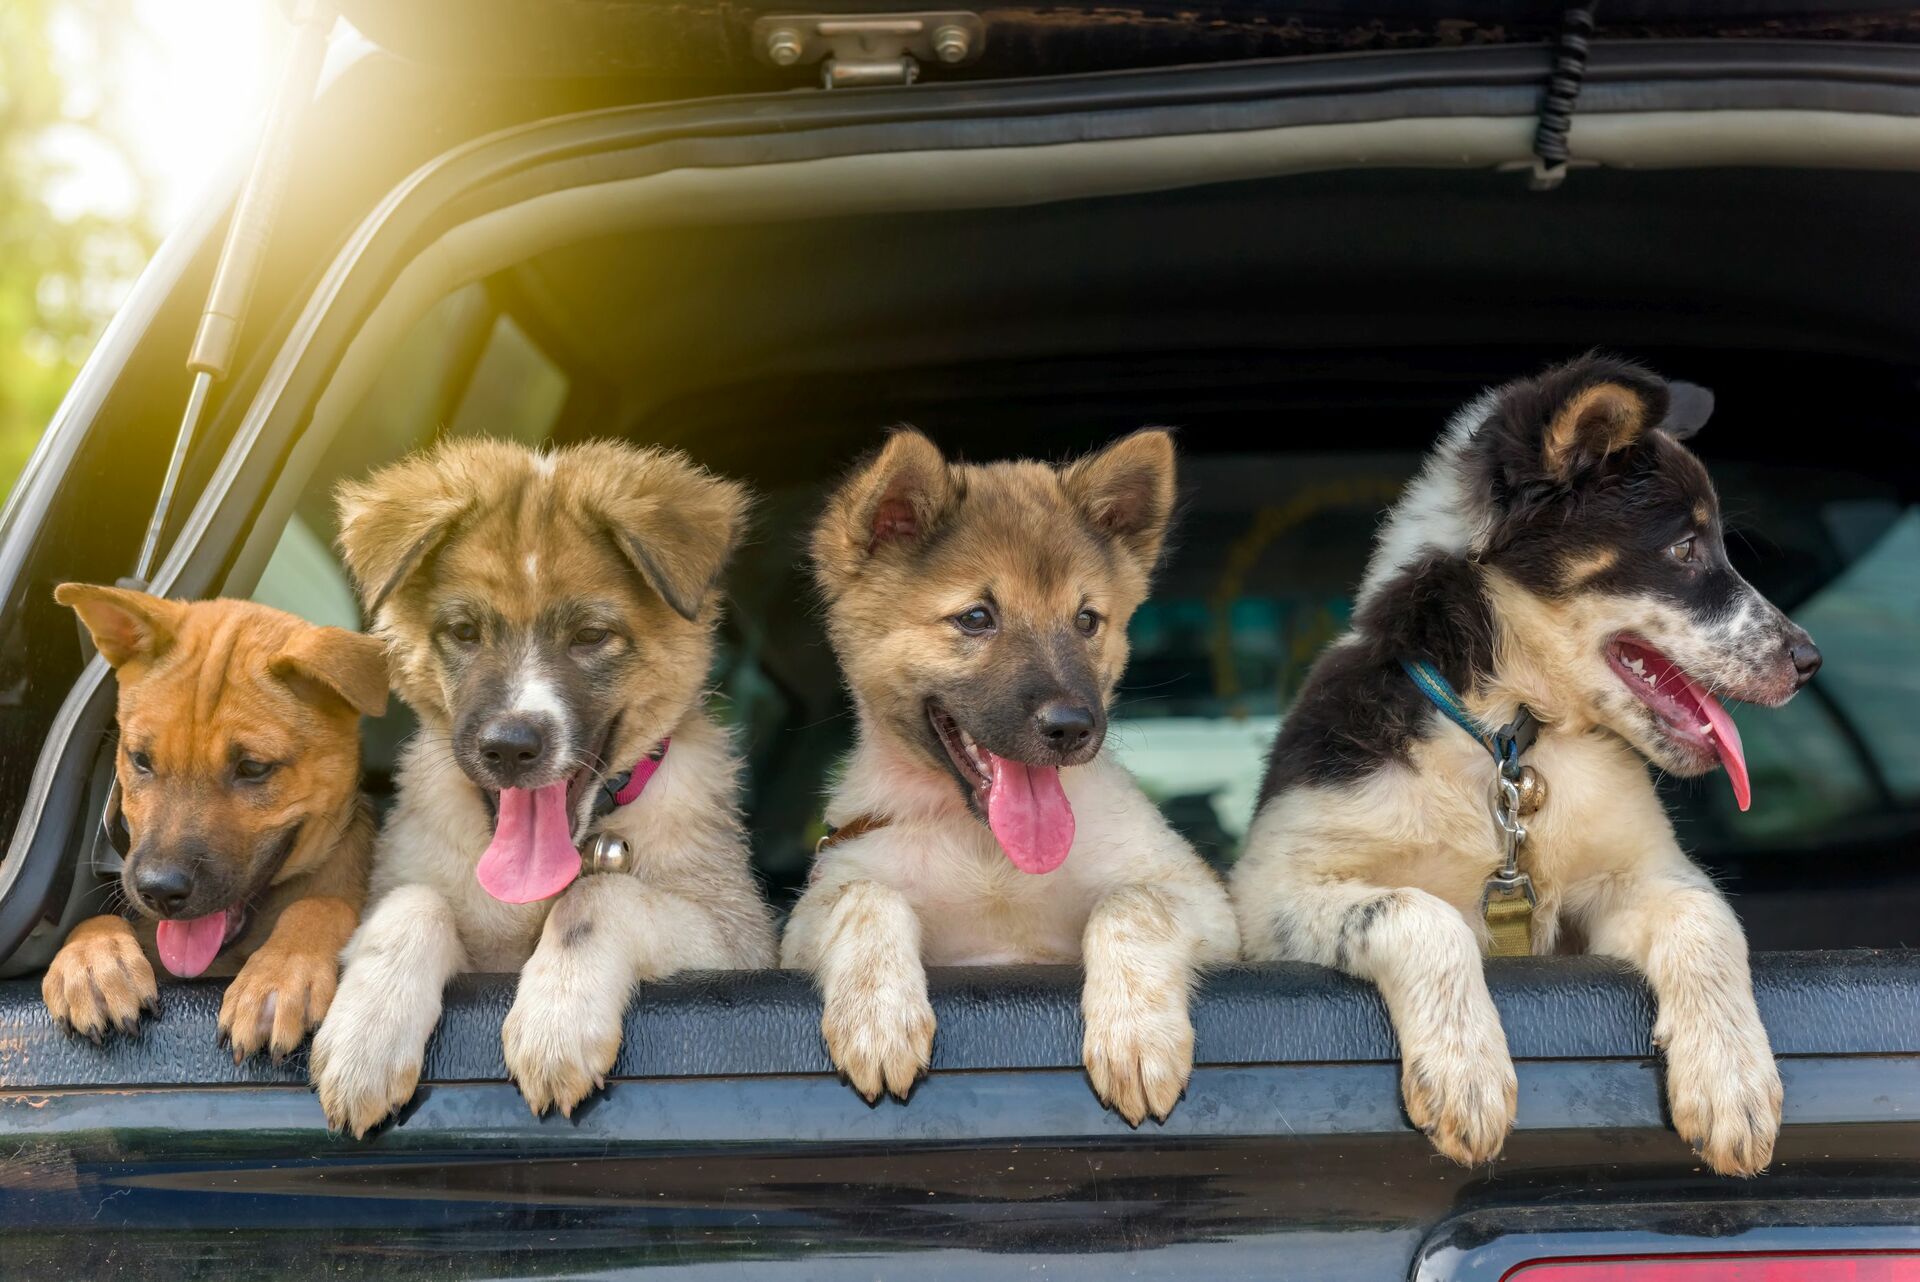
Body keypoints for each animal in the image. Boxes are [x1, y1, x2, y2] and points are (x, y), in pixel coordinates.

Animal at [43, 587, 384, 1059]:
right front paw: (92, 959)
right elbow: (93, 922)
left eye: (253, 768)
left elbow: (321, 904)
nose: (159, 891)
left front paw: (279, 975)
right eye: (140, 760)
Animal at [311, 437, 775, 1128]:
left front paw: (556, 1024)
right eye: (465, 632)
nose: (509, 746)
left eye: (590, 636)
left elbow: (597, 897)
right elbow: (414, 902)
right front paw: (364, 1038)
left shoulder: (737, 942)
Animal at [783, 427, 1244, 1120]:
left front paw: (1136, 1032)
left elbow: (1132, 902)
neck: (989, 854)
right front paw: (877, 1013)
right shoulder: (807, 917)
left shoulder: (1204, 901)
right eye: (976, 618)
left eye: (1087, 620)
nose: (1073, 727)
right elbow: (865, 897)